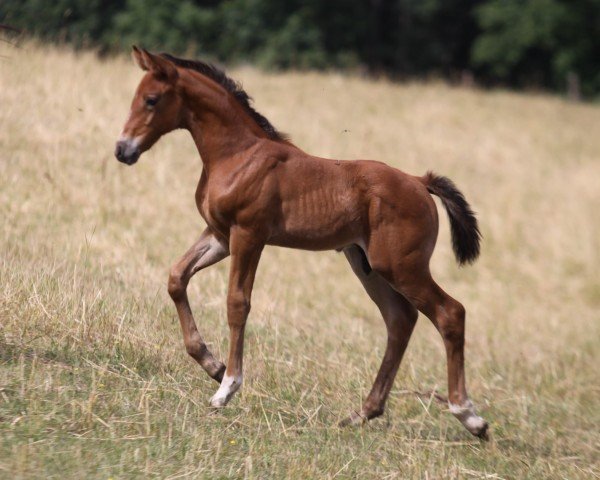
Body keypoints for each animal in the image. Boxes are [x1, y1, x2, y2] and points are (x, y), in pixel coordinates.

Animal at [116, 47, 488, 438]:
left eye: (151, 99)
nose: (122, 150)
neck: (238, 155)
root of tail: (420, 182)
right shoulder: (219, 235)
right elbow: (177, 277)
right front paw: (211, 364)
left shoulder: (248, 235)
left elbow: (237, 303)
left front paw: (226, 387)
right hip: (367, 264)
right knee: (399, 320)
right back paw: (363, 413)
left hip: (402, 266)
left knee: (450, 313)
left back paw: (469, 416)